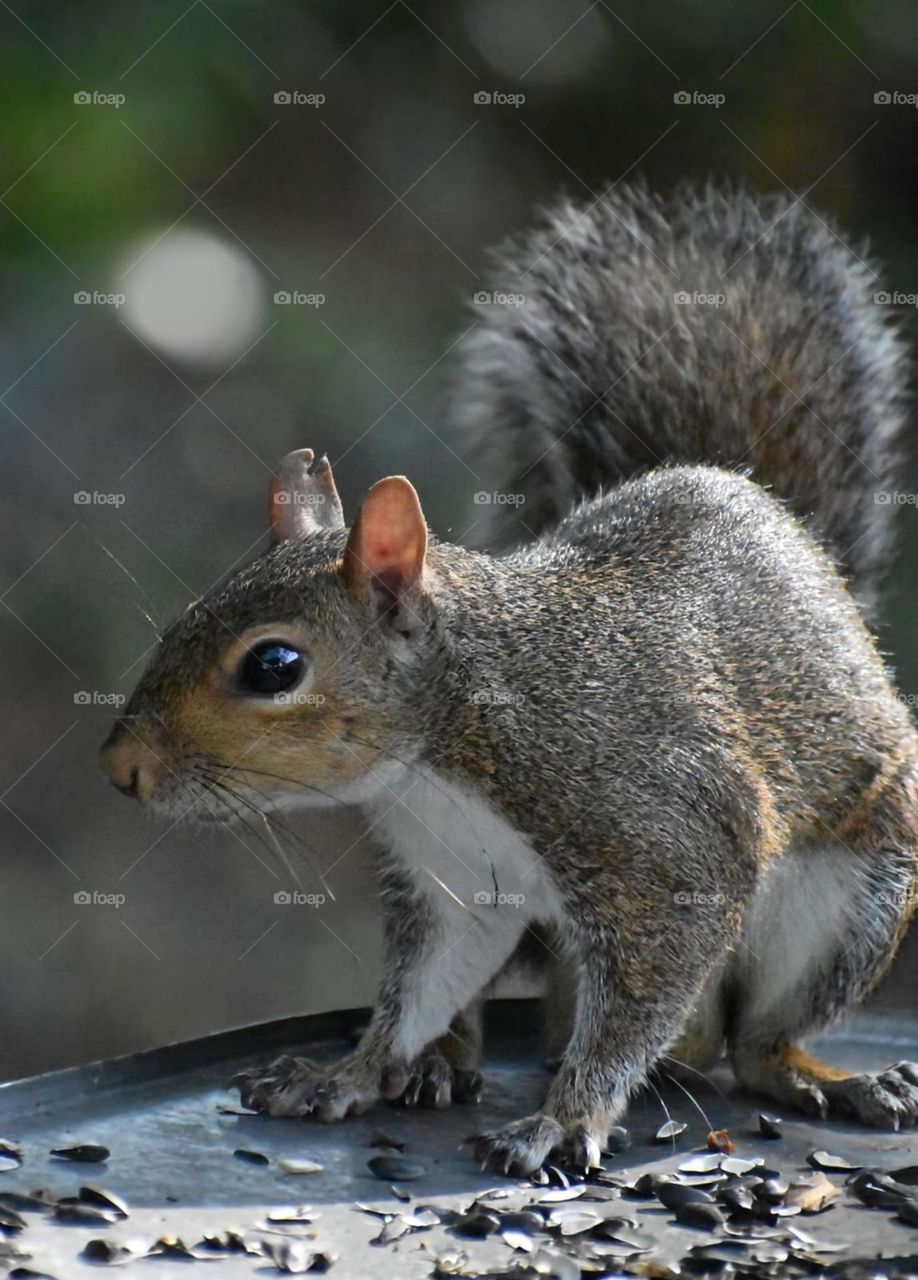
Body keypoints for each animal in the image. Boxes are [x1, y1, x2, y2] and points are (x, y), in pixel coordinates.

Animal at [100, 183, 918, 1175]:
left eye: (274, 665)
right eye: (179, 621)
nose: (120, 768)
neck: (447, 745)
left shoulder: (664, 847)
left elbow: (638, 999)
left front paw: (566, 1120)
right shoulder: (456, 881)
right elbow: (426, 986)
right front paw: (355, 1070)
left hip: (854, 898)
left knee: (752, 1044)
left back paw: (826, 1079)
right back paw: (442, 1062)